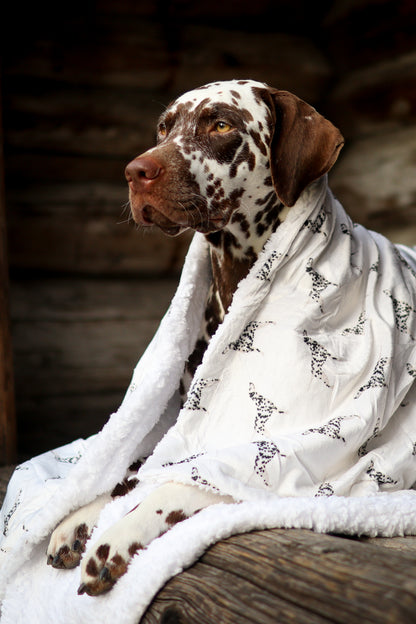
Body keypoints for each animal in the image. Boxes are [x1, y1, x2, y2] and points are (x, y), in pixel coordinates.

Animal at [46, 78, 344, 596]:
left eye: (220, 124)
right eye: (164, 127)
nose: (135, 172)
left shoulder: (272, 461)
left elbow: (172, 486)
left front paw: (115, 537)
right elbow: (129, 471)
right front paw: (76, 518)